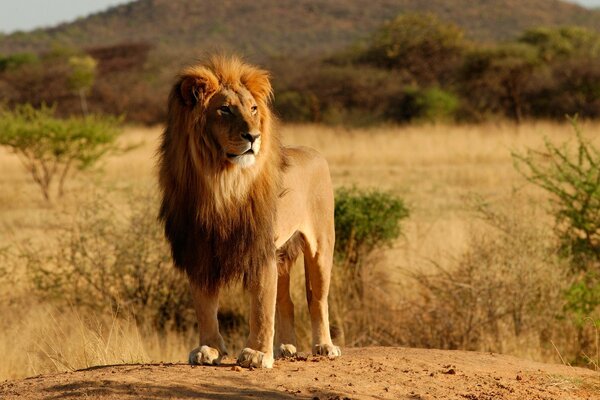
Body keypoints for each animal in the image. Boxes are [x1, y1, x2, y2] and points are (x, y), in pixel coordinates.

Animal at [157, 55, 340, 368]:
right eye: (225, 109)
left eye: (253, 109)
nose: (253, 136)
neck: (221, 182)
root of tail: (314, 152)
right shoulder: (199, 249)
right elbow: (205, 306)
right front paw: (208, 349)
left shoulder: (259, 248)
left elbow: (261, 306)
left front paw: (256, 354)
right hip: (283, 253)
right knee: (287, 301)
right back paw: (286, 347)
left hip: (321, 246)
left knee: (317, 299)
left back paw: (324, 346)